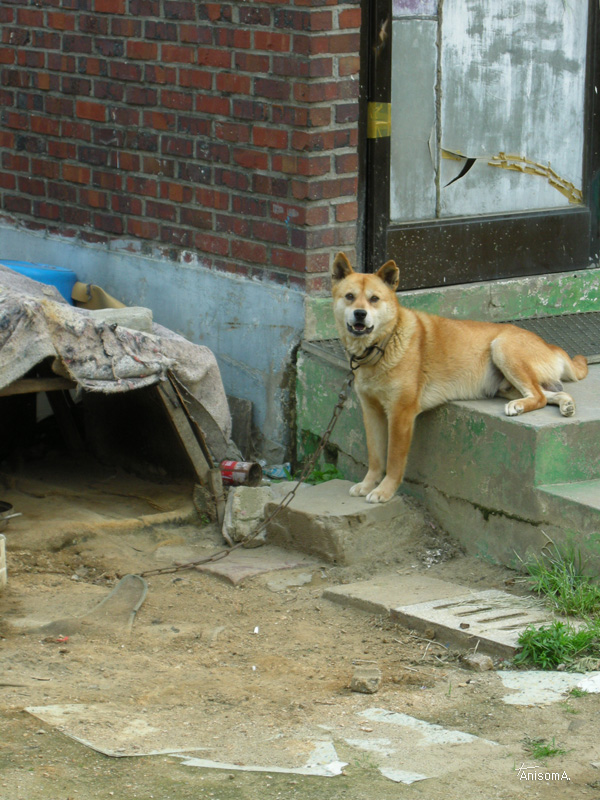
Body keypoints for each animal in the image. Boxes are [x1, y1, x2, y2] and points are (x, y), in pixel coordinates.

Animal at [332, 253, 592, 504]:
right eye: (349, 296)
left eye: (374, 299)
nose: (360, 313)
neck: (382, 345)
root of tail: (550, 346)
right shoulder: (371, 411)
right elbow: (375, 456)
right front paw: (368, 484)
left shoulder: (401, 413)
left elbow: (394, 460)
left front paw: (384, 491)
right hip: (506, 385)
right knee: (551, 393)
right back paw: (566, 405)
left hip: (503, 348)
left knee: (538, 396)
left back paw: (519, 406)